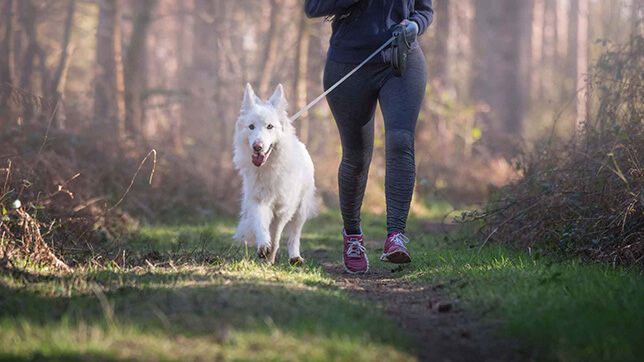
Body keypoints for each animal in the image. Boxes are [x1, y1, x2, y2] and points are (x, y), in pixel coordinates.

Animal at [234, 83, 320, 264]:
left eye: (269, 126)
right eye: (251, 126)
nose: (257, 147)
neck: (268, 167)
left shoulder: (283, 209)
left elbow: (276, 236)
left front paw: (270, 257)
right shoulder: (257, 200)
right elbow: (261, 226)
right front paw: (263, 247)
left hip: (300, 211)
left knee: (293, 236)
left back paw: (294, 257)